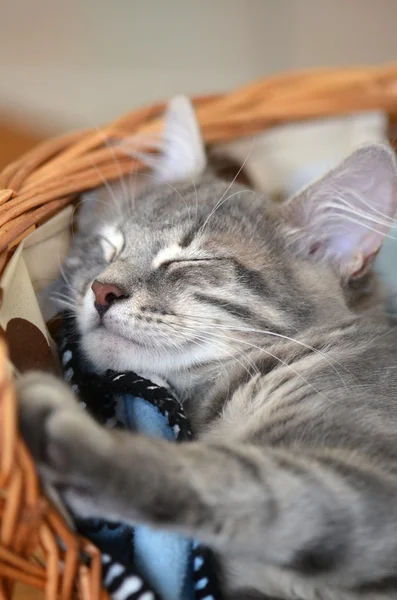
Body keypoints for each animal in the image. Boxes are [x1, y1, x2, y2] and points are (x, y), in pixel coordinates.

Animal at [17, 98, 397, 600]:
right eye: (109, 246)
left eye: (187, 260)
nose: (100, 290)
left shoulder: (365, 484)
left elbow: (230, 477)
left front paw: (75, 439)